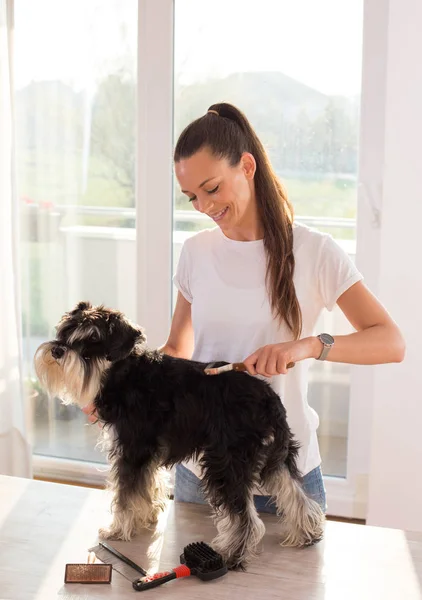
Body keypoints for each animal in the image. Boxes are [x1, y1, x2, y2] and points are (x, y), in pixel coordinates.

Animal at [34, 302, 324, 568]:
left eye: (94, 338)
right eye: (67, 329)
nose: (58, 350)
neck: (125, 373)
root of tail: (269, 399)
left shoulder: (132, 449)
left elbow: (126, 493)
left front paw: (117, 529)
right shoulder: (146, 452)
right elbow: (147, 484)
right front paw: (147, 517)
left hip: (227, 464)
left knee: (246, 518)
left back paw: (231, 553)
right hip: (275, 459)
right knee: (294, 492)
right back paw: (306, 534)